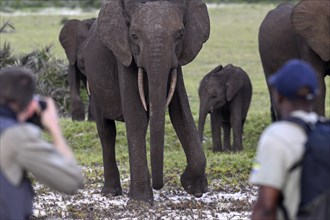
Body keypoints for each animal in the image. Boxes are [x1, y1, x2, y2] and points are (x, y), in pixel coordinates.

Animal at [84, 0, 210, 205]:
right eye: (134, 35)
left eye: (180, 35)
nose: (159, 186)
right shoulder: (124, 55)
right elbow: (136, 117)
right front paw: (141, 202)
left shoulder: (176, 62)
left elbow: (181, 113)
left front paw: (195, 188)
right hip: (93, 87)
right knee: (106, 131)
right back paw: (111, 193)